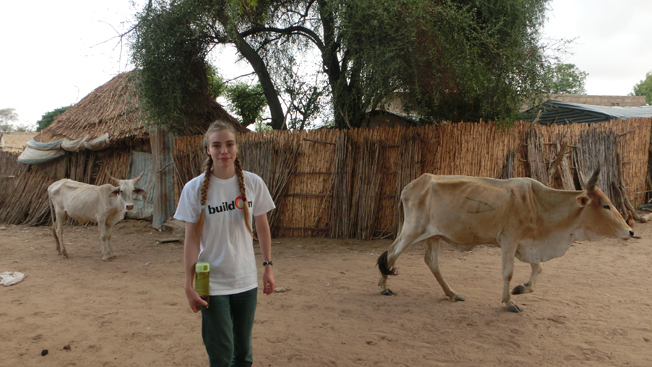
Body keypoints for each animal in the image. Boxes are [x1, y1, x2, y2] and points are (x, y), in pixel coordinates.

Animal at [374, 170, 636, 314]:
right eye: (606, 205)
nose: (630, 231)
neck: (538, 204)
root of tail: (412, 185)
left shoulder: (527, 245)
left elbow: (538, 268)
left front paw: (522, 288)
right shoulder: (509, 240)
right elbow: (508, 273)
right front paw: (509, 301)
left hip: (433, 236)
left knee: (431, 262)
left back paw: (452, 293)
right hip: (413, 230)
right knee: (391, 254)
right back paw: (384, 287)